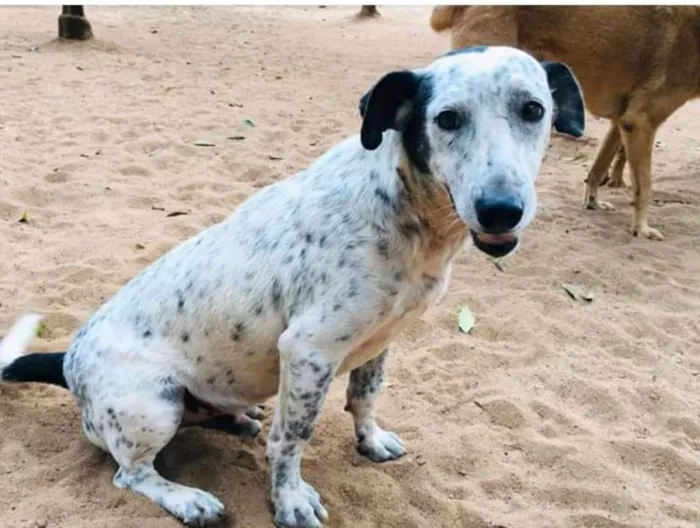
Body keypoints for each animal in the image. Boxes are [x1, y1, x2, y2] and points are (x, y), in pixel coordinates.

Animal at [0, 46, 584, 528]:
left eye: (533, 110)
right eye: (447, 119)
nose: (502, 209)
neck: (408, 214)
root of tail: (68, 360)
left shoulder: (380, 340)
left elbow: (365, 396)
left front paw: (370, 441)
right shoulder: (309, 350)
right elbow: (292, 437)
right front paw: (290, 501)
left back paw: (238, 418)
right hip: (152, 404)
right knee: (132, 473)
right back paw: (189, 499)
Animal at [430, 5, 700, 240]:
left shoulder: (622, 122)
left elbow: (598, 167)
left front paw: (593, 202)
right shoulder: (641, 123)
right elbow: (644, 187)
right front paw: (642, 228)